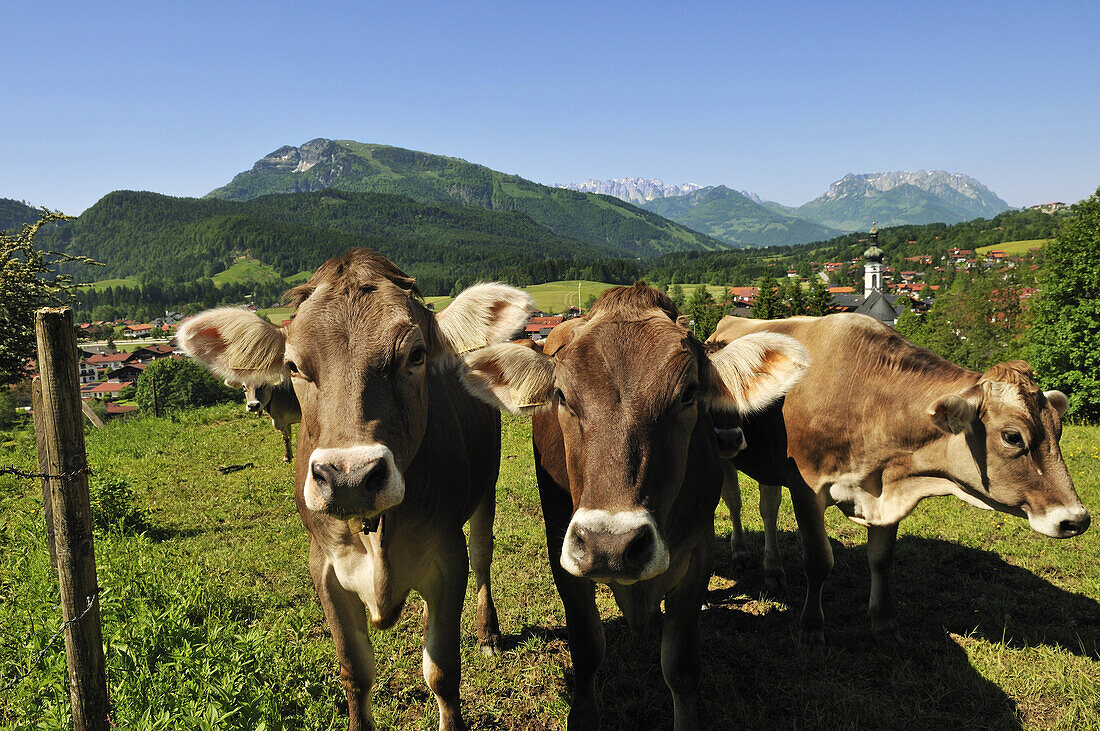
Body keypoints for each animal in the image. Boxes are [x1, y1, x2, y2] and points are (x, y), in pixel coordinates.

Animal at [180, 249, 532, 729]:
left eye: (416, 355)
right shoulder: (325, 568)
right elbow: (355, 671)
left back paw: (488, 632)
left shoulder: (447, 557)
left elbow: (441, 669)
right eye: (293, 366)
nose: (348, 478)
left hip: (486, 490)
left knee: (483, 555)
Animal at [459, 281, 814, 725]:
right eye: (562, 395)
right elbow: (587, 650)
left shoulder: (697, 554)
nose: (610, 545)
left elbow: (680, 667)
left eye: (689, 394)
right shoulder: (563, 549)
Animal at [708, 314, 1086, 646]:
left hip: (769, 466)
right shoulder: (807, 489)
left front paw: (883, 624)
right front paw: (812, 627)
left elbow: (882, 560)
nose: (1076, 520)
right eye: (1012, 437)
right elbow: (818, 560)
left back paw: (773, 570)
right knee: (735, 501)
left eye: (1059, 429)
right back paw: (741, 552)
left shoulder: (887, 489)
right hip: (727, 453)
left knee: (768, 508)